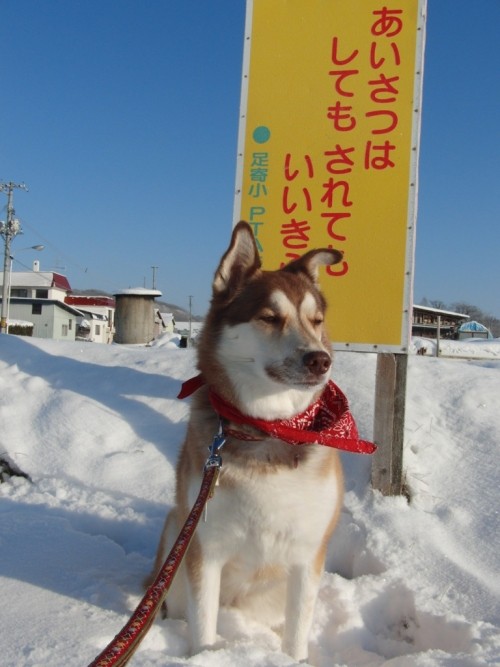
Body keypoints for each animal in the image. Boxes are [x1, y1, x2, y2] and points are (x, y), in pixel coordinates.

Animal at [147, 220, 372, 664]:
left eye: (316, 320)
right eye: (269, 317)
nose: (321, 360)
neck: (271, 428)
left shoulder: (307, 555)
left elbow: (297, 632)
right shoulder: (203, 549)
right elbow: (203, 627)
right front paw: (207, 654)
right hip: (176, 537)